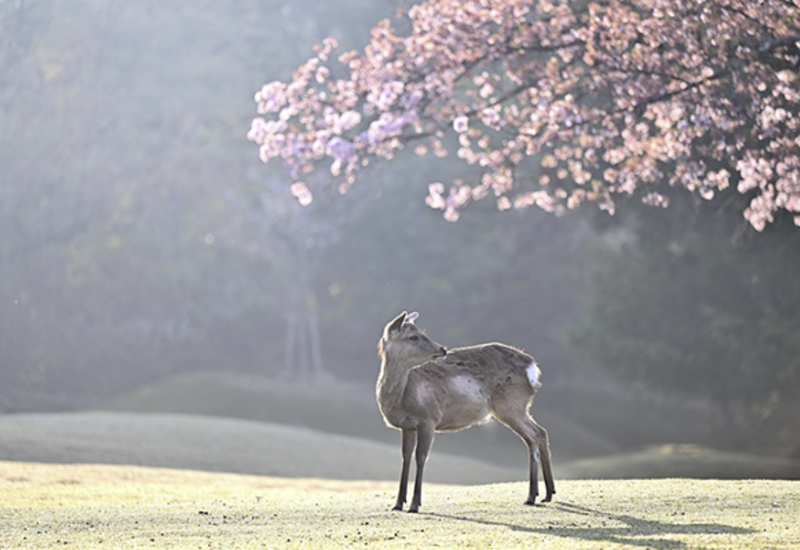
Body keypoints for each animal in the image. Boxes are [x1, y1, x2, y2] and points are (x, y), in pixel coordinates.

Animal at [376, 312, 556, 516]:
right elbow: (405, 457)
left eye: (422, 332)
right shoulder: (407, 426)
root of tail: (532, 367)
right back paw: (544, 494)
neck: (401, 399)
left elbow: (421, 457)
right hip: (517, 407)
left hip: (511, 405)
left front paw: (415, 505)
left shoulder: (429, 418)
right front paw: (398, 503)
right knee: (539, 433)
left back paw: (534, 495)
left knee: (535, 434)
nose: (443, 349)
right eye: (413, 336)